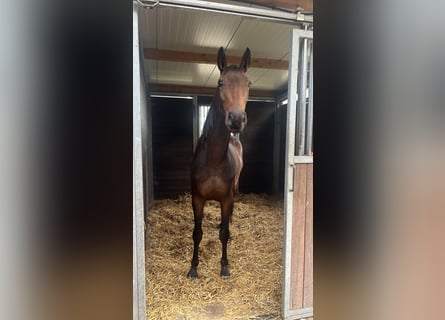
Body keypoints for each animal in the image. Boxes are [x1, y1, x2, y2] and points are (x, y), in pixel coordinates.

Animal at [186, 47, 250, 280]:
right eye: (221, 82)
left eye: (248, 83)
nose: (236, 120)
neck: (213, 160)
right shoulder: (197, 199)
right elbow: (197, 233)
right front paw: (193, 268)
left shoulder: (226, 199)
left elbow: (223, 233)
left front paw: (224, 266)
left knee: (228, 222)